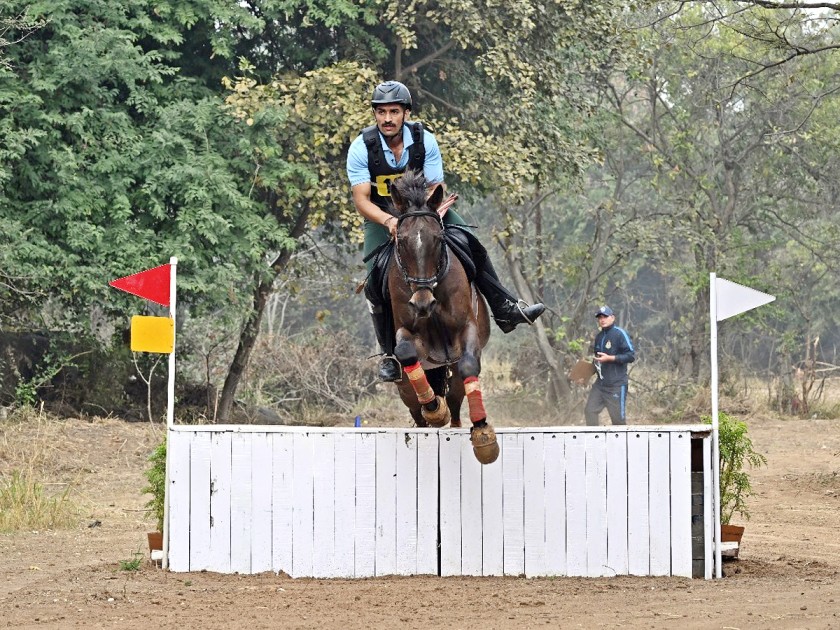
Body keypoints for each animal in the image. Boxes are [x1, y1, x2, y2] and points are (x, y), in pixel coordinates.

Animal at [388, 170, 498, 466]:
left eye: (437, 239)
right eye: (402, 241)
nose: (422, 304)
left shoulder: (466, 330)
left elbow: (469, 366)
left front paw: (483, 433)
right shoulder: (408, 331)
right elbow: (405, 350)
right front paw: (434, 408)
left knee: (457, 399)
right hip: (405, 386)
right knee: (416, 410)